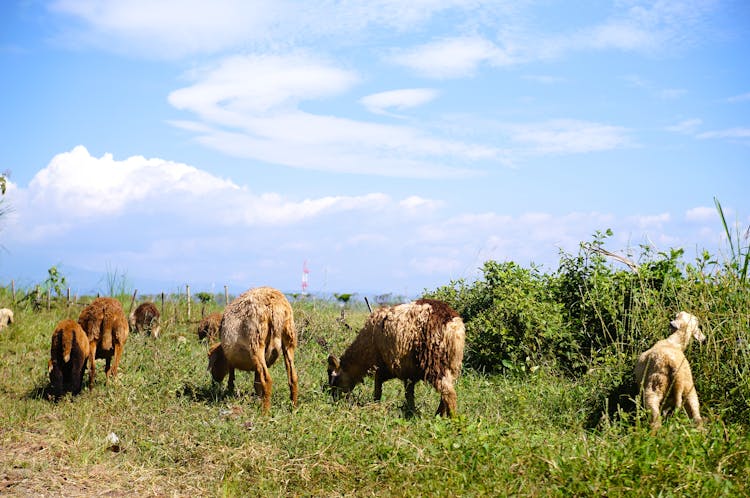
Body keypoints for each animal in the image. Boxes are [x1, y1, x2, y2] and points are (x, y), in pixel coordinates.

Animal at [209, 286, 300, 414]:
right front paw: (258, 399)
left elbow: (232, 378)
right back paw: (294, 408)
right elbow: (257, 383)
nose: (214, 381)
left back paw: (265, 412)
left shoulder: (230, 359)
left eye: (214, 363)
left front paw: (229, 392)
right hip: (289, 338)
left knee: (267, 380)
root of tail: (275, 306)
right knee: (293, 377)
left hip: (256, 342)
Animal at [328, 298, 464, 418]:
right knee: (446, 392)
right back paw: (438, 416)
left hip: (433, 361)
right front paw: (411, 412)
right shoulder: (408, 372)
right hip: (452, 364)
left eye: (334, 377)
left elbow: (379, 390)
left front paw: (376, 406)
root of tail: (452, 322)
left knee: (448, 392)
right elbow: (408, 393)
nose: (333, 398)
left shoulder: (383, 366)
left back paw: (453, 420)